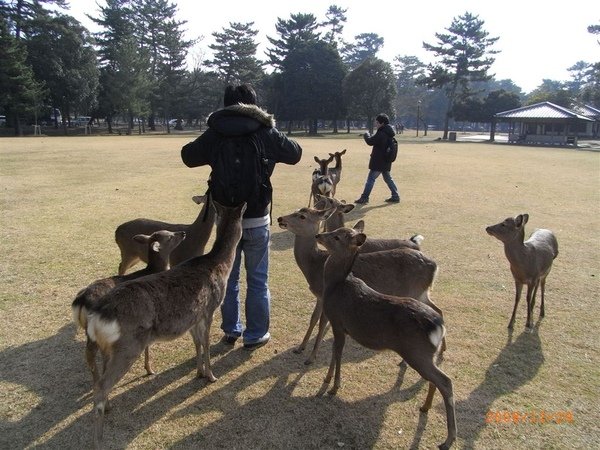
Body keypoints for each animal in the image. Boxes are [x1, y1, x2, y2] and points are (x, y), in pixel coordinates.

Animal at [72, 230, 185, 382]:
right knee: (93, 354)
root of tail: (81, 300)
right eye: (169, 237)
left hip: (90, 329)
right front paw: (150, 370)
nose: (183, 233)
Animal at [85, 202, 245, 448]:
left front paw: (199, 372)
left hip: (108, 347)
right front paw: (211, 376)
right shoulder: (209, 309)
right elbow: (207, 344)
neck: (220, 266)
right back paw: (98, 440)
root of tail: (95, 317)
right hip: (128, 346)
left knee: (100, 378)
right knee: (101, 385)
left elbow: (197, 343)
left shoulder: (193, 316)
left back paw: (109, 406)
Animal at [276, 207, 440, 366]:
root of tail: (435, 266)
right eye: (296, 210)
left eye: (302, 216)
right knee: (437, 309)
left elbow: (322, 323)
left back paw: (406, 361)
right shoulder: (319, 296)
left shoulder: (325, 295)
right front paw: (300, 348)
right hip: (422, 292)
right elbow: (313, 319)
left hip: (414, 291)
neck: (314, 266)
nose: (280, 218)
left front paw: (310, 358)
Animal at [316, 227, 458, 448]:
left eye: (337, 236)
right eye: (334, 230)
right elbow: (333, 353)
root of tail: (438, 326)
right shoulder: (339, 327)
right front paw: (327, 379)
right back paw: (425, 407)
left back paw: (448, 439)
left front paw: (333, 387)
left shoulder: (338, 323)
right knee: (436, 378)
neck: (335, 285)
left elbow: (337, 353)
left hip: (417, 352)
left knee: (446, 381)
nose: (318, 236)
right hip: (425, 353)